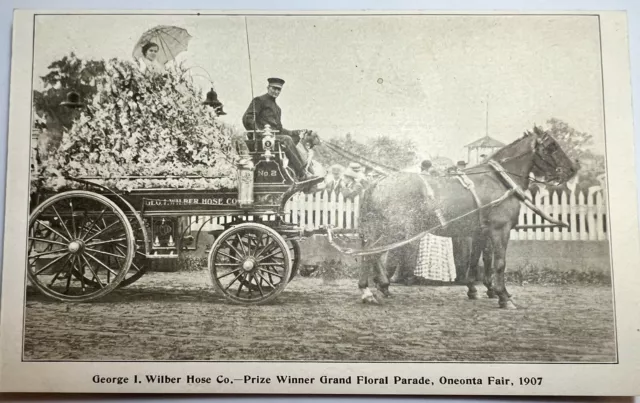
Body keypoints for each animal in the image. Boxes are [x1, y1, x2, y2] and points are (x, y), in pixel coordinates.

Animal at [358, 126, 576, 310]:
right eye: (552, 146)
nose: (572, 169)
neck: (498, 180)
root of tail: (378, 182)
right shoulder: (500, 230)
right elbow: (499, 263)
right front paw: (503, 296)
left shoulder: (479, 232)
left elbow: (476, 260)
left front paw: (475, 290)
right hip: (396, 230)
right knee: (370, 254)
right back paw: (368, 291)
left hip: (383, 229)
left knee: (371, 252)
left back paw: (379, 286)